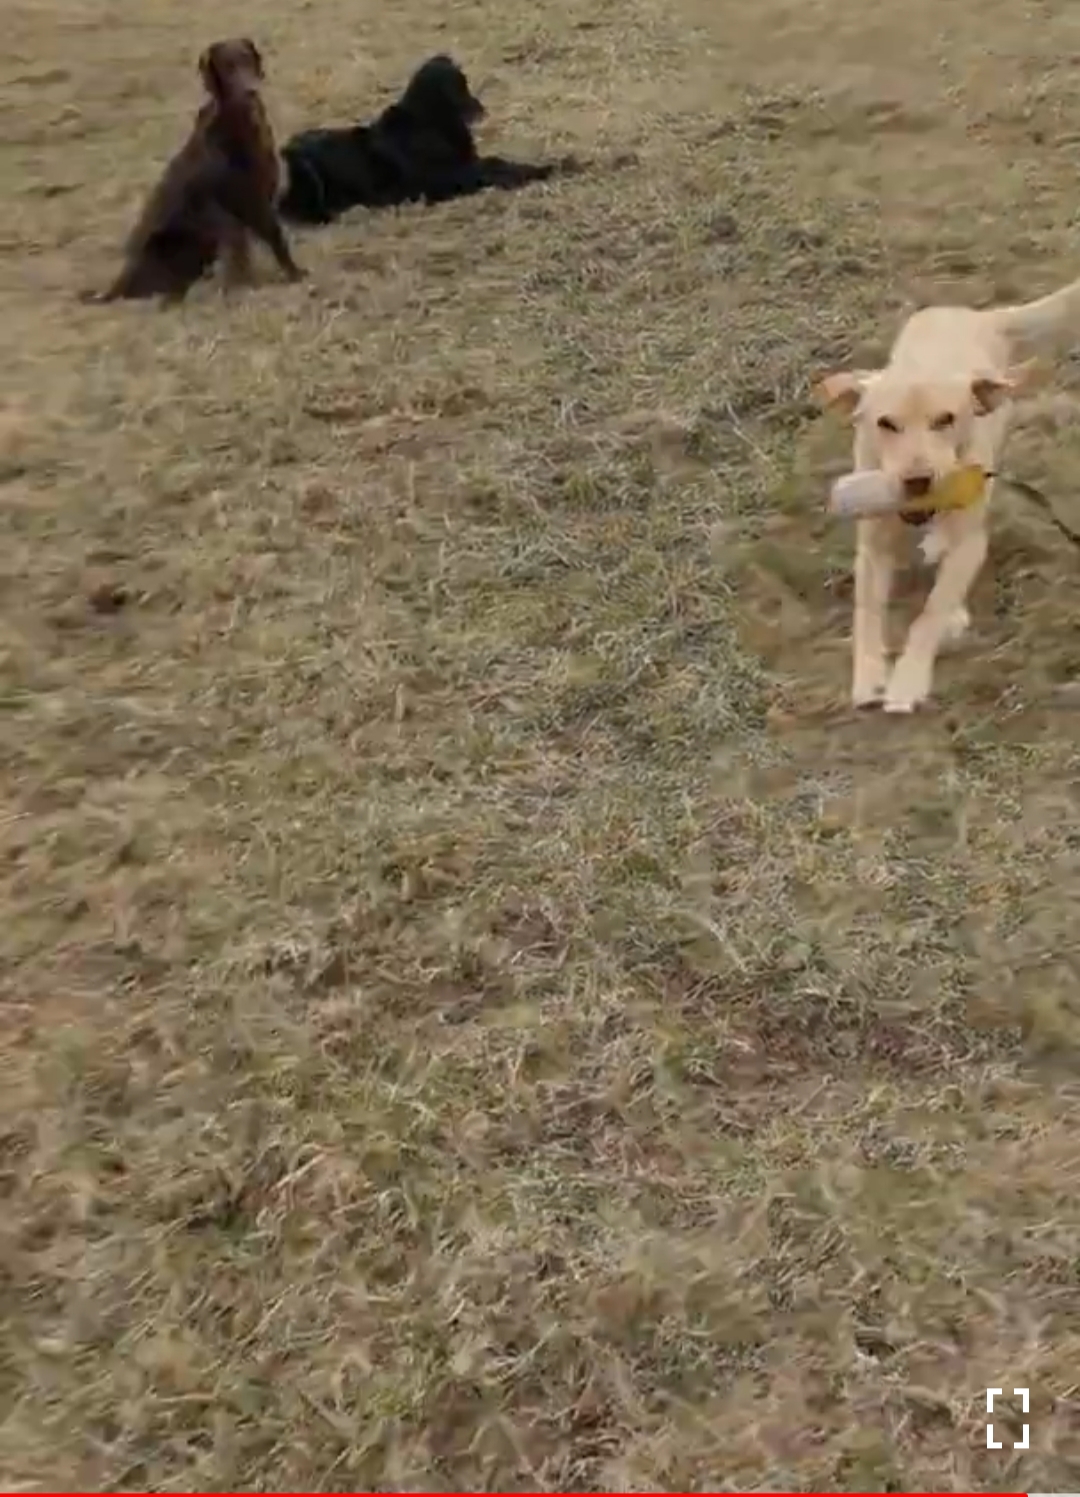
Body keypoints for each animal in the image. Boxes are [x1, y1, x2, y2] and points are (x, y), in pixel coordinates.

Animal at [97, 38, 304, 302]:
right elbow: (257, 239)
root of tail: (117, 285)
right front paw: (276, 278)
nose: (251, 91)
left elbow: (270, 238)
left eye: (247, 59)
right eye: (228, 66)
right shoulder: (233, 202)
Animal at [278, 53, 580, 225]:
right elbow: (497, 166)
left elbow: (498, 162)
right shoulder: (449, 176)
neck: (429, 120)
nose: (481, 109)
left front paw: (560, 163)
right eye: (460, 85)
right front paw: (548, 169)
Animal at [815, 276, 1080, 713]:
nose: (919, 480)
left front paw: (908, 681)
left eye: (945, 420)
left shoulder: (970, 543)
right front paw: (868, 678)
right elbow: (867, 614)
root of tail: (980, 315)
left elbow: (930, 613)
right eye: (886, 424)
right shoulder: (872, 549)